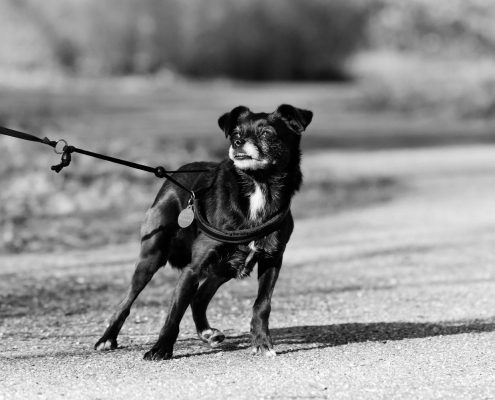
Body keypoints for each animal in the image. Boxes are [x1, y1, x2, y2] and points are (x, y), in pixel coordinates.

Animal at [95, 103, 312, 360]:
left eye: (266, 133)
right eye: (235, 133)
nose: (237, 143)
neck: (258, 185)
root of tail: (174, 175)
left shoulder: (271, 259)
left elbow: (262, 304)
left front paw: (262, 342)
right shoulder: (193, 268)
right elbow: (174, 312)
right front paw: (161, 348)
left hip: (225, 267)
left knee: (198, 298)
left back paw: (207, 333)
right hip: (152, 256)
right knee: (127, 301)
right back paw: (107, 339)